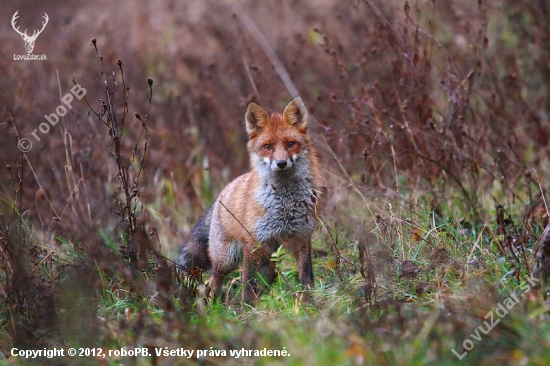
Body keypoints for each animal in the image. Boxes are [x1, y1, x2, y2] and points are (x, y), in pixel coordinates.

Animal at [179, 96, 326, 304]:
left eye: (290, 144)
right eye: (268, 147)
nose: (281, 163)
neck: (285, 205)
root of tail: (222, 193)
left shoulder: (302, 237)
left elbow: (306, 277)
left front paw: (310, 303)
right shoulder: (254, 242)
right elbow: (247, 284)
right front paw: (246, 308)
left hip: (269, 260)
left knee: (263, 280)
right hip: (227, 260)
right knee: (214, 282)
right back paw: (213, 305)